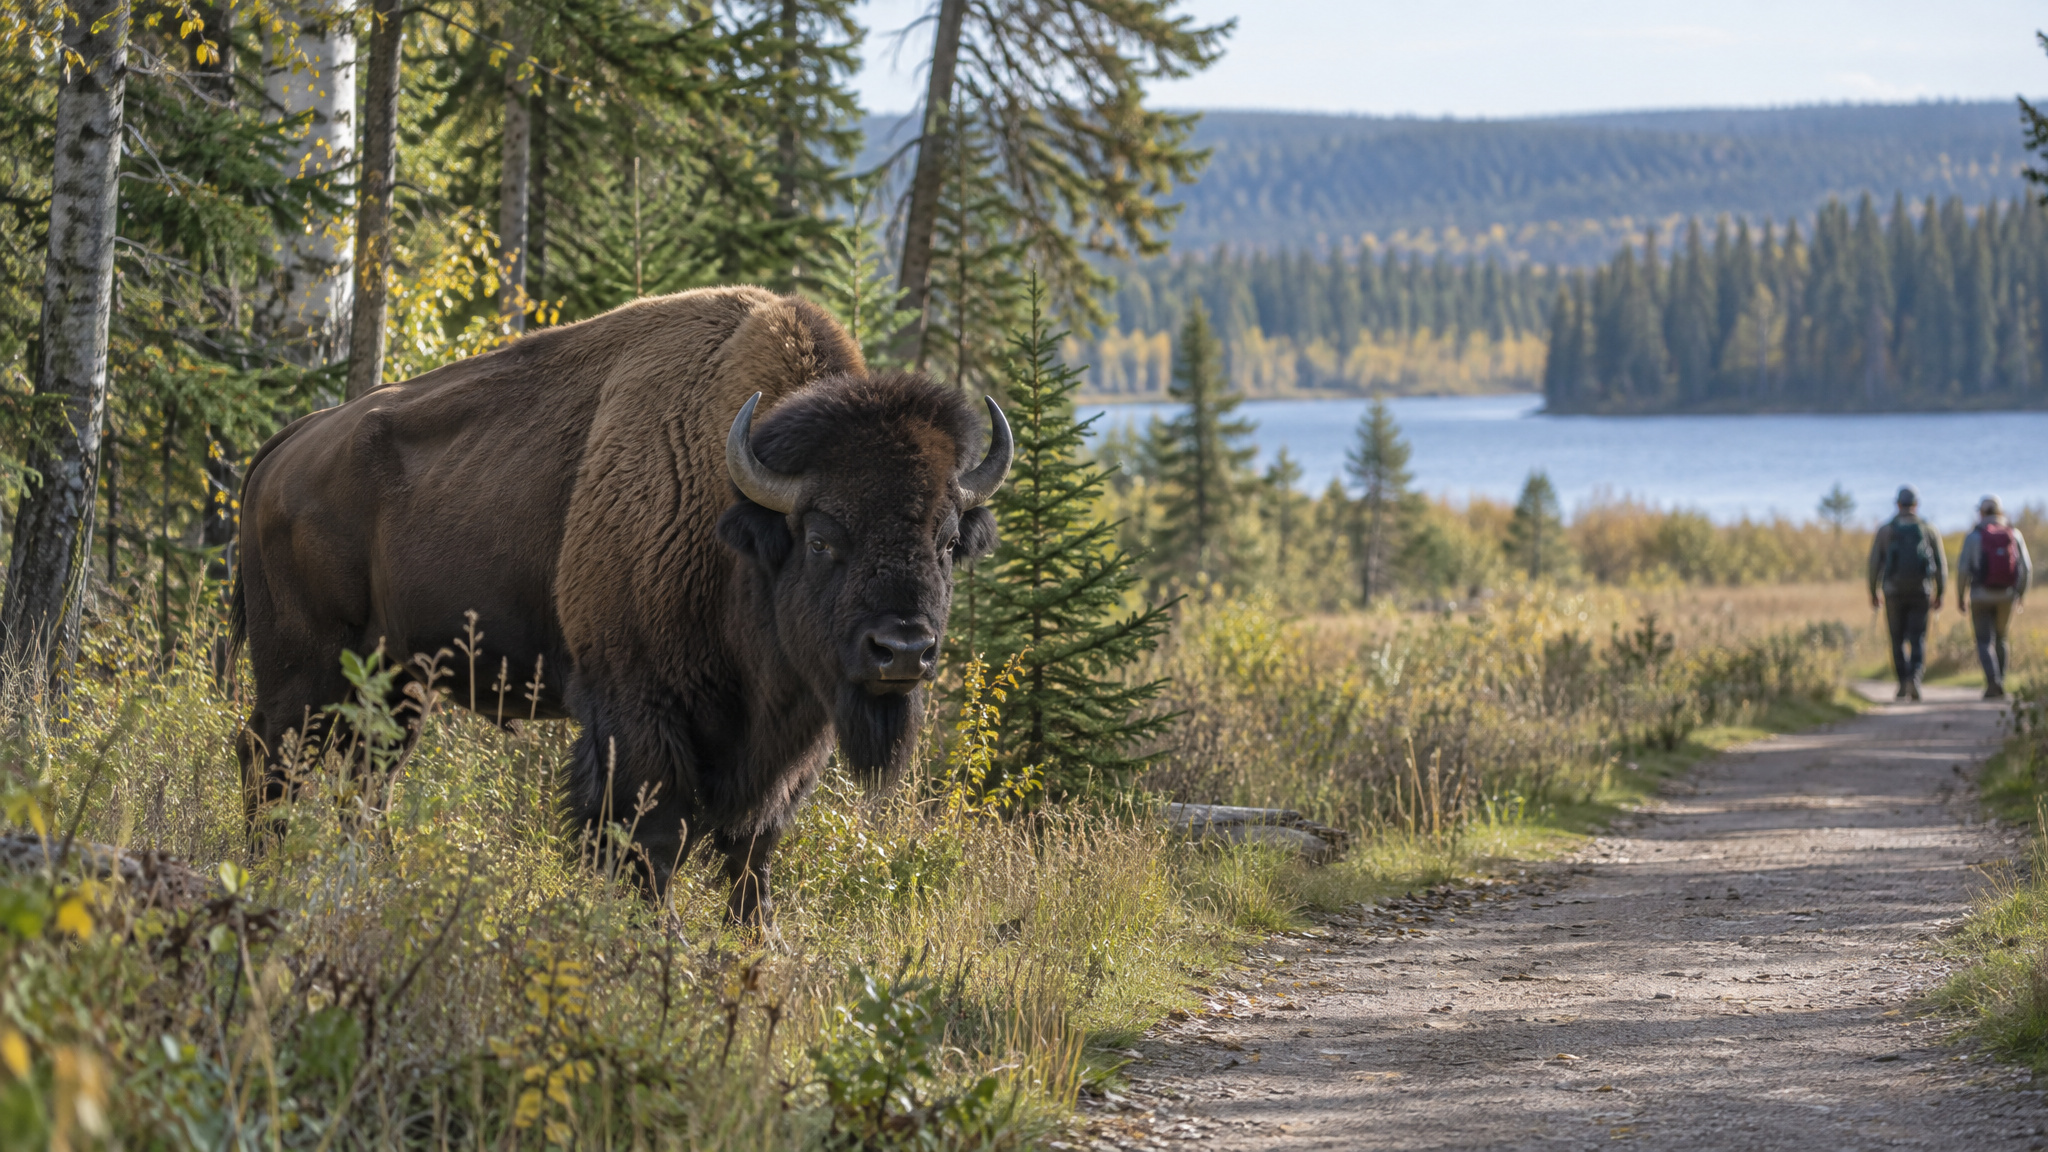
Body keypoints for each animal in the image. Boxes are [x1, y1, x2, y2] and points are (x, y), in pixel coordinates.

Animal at [233, 286, 1009, 921]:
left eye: (946, 542)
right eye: (821, 538)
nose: (901, 650)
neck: (736, 520)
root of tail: (286, 446)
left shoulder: (786, 743)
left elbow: (752, 854)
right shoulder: (640, 715)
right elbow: (650, 841)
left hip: (397, 681)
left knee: (367, 780)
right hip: (304, 668)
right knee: (271, 755)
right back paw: (265, 874)